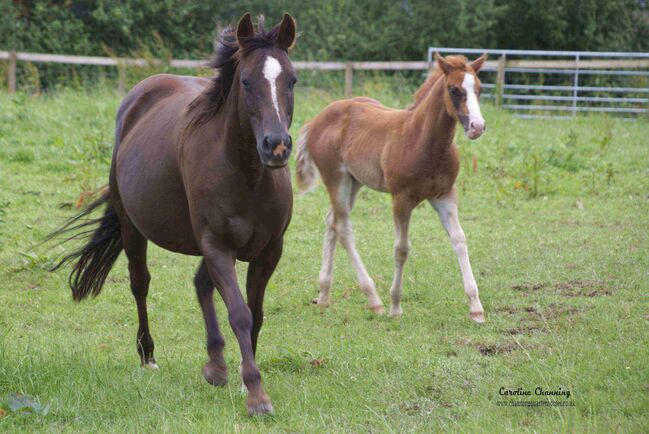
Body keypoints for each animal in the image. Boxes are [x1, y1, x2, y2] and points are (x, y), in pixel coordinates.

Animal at [49, 12, 298, 414]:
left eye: (291, 80)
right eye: (246, 81)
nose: (276, 146)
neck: (246, 175)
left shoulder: (269, 250)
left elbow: (256, 314)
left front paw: (242, 377)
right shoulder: (217, 247)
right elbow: (240, 313)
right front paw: (257, 394)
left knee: (200, 285)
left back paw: (215, 366)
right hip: (134, 229)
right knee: (140, 284)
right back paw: (148, 355)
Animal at [296, 52, 488, 322]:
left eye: (479, 89)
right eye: (453, 90)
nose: (477, 127)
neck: (424, 141)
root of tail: (316, 120)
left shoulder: (444, 195)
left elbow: (459, 240)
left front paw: (476, 307)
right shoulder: (401, 198)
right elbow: (401, 249)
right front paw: (395, 306)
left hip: (354, 182)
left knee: (332, 221)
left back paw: (323, 295)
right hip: (336, 178)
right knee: (343, 227)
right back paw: (373, 299)